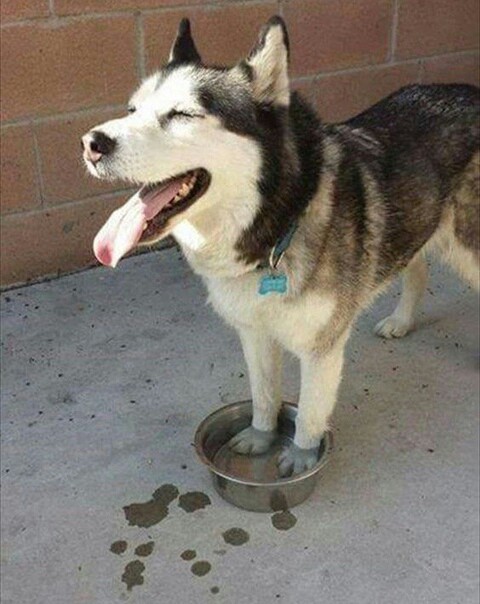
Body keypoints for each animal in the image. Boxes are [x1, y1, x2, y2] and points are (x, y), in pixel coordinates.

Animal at [82, 16, 480, 476]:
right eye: (133, 110)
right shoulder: (253, 333)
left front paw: (302, 458)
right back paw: (401, 321)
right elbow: (264, 394)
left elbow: (308, 411)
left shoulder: (321, 349)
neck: (276, 228)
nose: (92, 143)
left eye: (182, 114)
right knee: (416, 267)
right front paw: (260, 436)